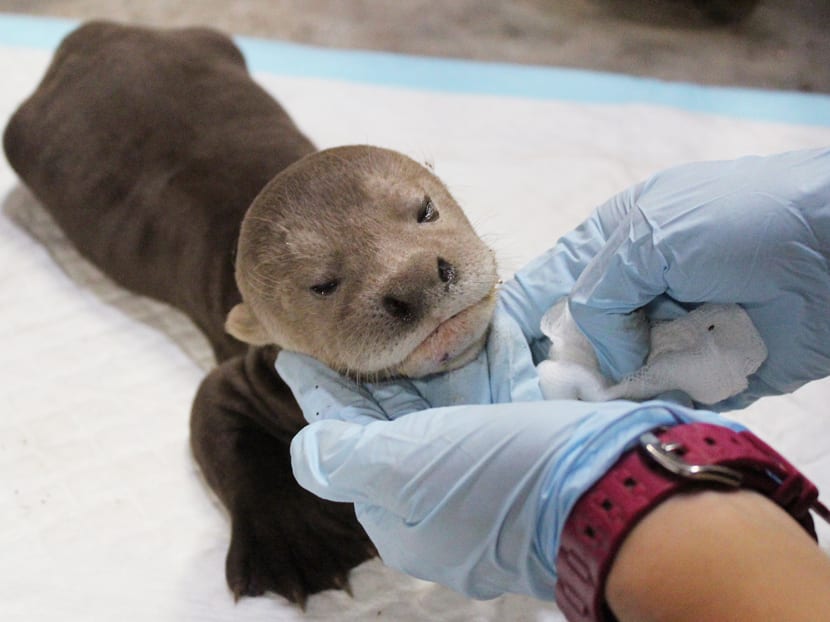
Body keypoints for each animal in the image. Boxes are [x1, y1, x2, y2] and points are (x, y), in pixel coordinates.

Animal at [3, 21, 498, 606]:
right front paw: (296, 543)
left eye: (425, 210)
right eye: (323, 284)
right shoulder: (246, 375)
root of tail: (91, 30)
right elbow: (219, 426)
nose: (415, 279)